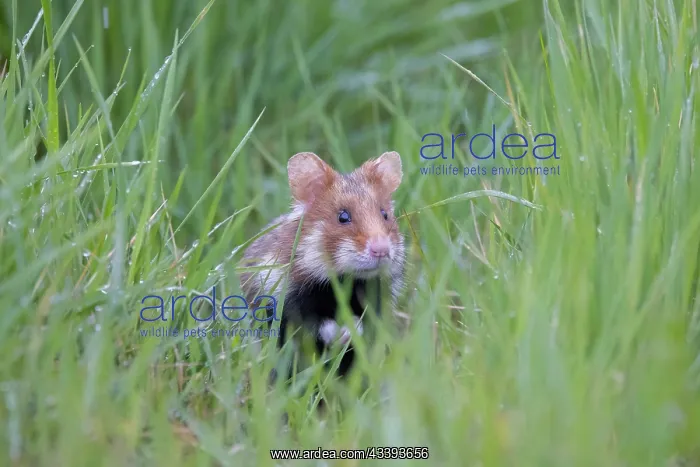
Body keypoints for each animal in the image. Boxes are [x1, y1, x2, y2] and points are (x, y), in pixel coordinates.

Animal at [239, 151, 405, 379]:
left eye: (385, 214)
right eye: (343, 217)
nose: (381, 250)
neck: (345, 281)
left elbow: (367, 324)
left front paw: (353, 329)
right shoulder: (287, 304)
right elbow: (315, 326)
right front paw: (343, 333)